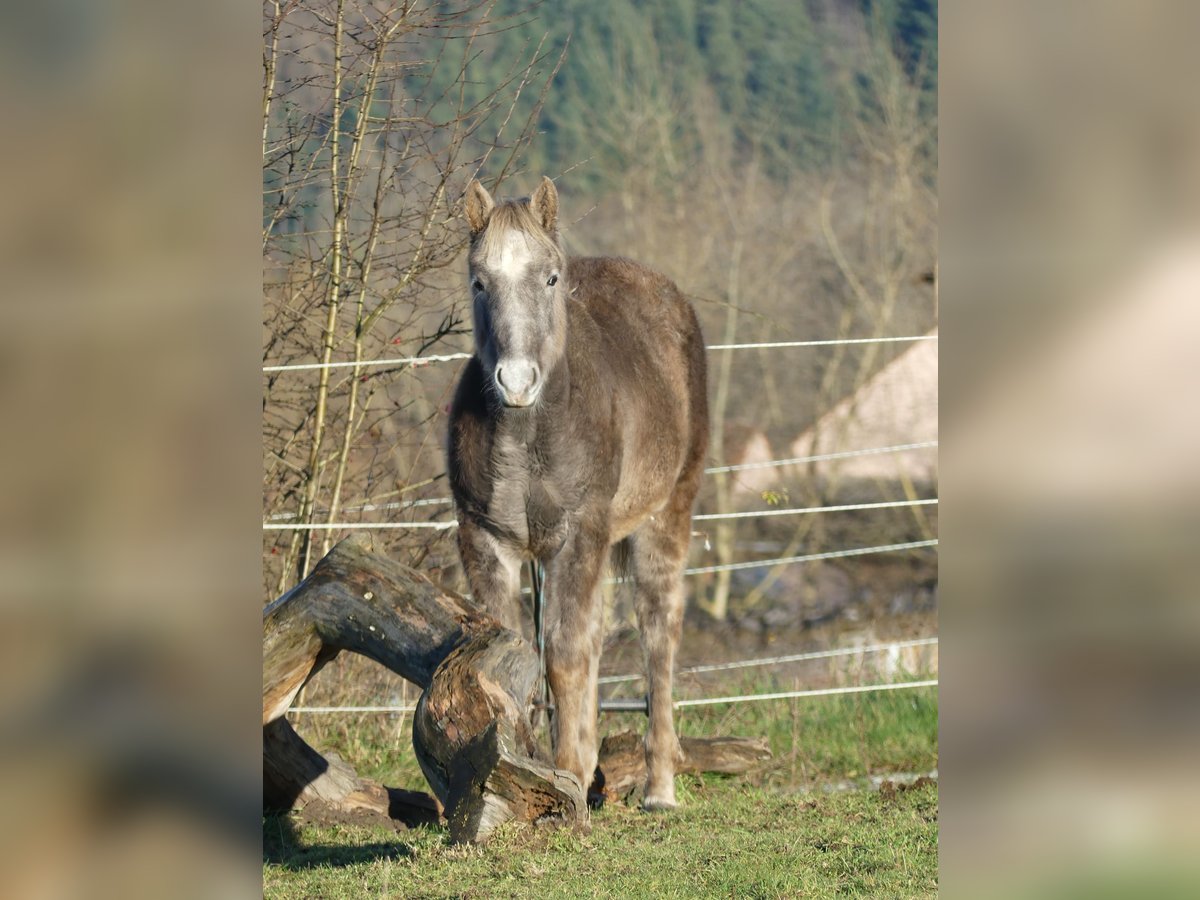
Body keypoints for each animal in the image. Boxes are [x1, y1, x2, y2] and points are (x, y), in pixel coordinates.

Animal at [446, 176, 705, 811]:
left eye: (550, 278)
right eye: (479, 281)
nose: (516, 382)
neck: (529, 433)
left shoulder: (577, 536)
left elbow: (564, 655)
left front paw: (563, 773)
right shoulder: (486, 542)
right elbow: (512, 655)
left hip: (664, 518)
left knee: (657, 631)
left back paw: (659, 788)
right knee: (595, 635)